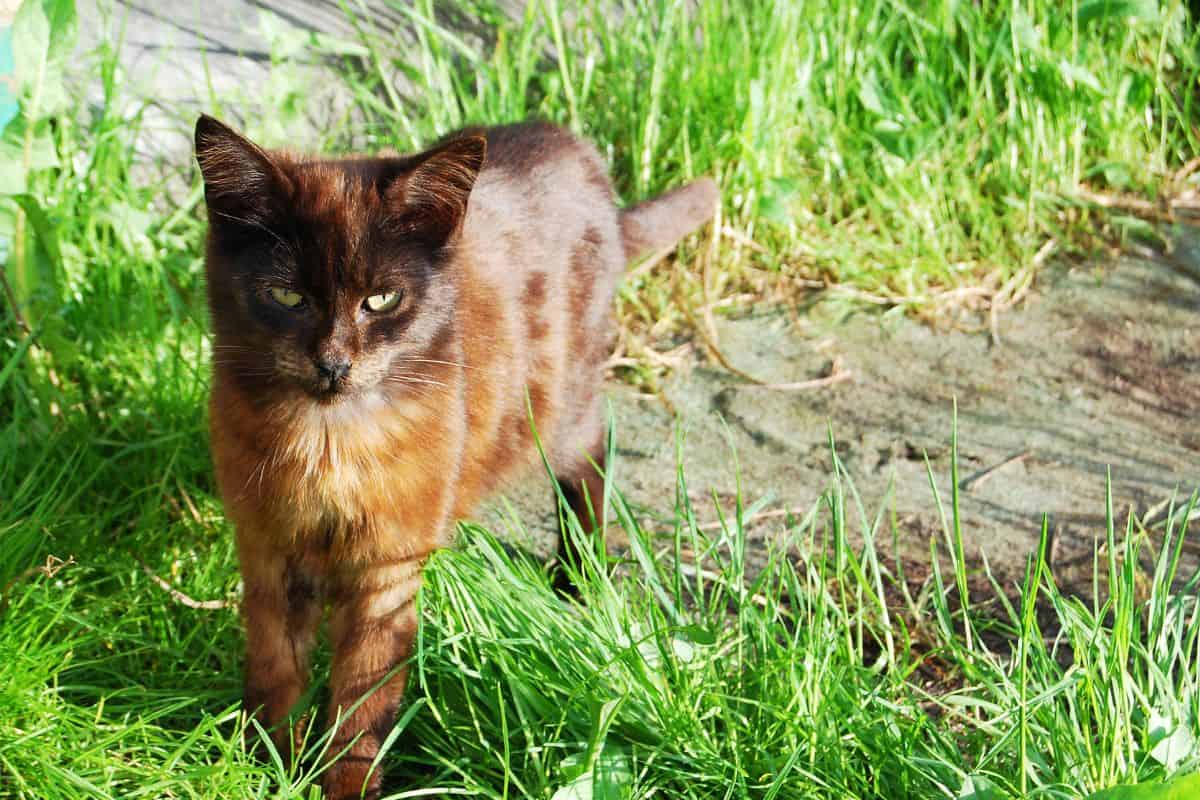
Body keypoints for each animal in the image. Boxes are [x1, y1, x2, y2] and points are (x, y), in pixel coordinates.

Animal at [195, 113, 715, 800]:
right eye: (286, 297)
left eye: (382, 300)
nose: (333, 364)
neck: (330, 441)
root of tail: (574, 152)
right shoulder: (267, 550)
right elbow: (275, 672)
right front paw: (270, 768)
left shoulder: (387, 573)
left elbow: (362, 704)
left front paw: (343, 784)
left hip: (559, 405)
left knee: (593, 449)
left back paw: (577, 581)